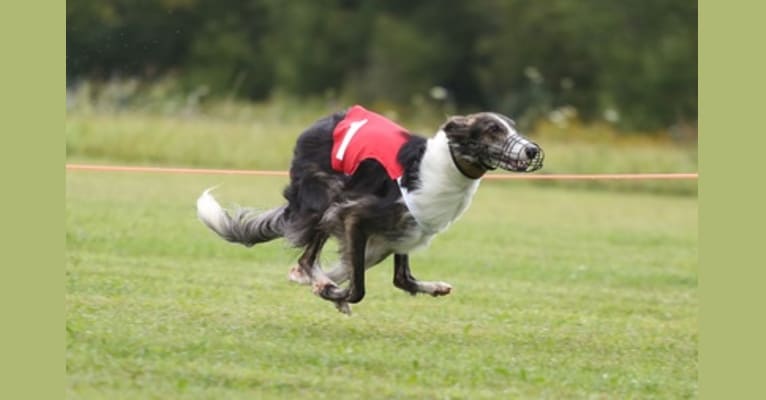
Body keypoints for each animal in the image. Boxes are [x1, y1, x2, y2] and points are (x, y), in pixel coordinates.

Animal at [198, 104, 544, 314]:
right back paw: (322, 284)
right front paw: (331, 293)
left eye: (512, 128)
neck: (438, 168)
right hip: (328, 199)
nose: (531, 151)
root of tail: (318, 124)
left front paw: (434, 287)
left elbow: (402, 279)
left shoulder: (405, 231)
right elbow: (358, 289)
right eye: (493, 130)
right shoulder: (355, 216)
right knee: (306, 259)